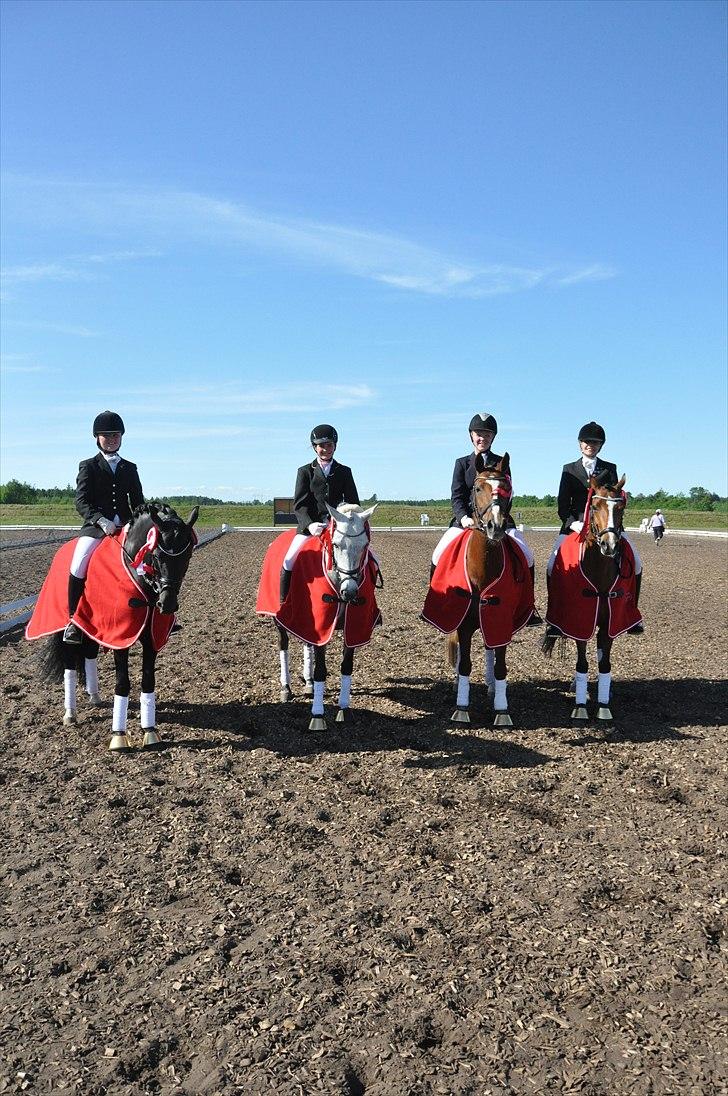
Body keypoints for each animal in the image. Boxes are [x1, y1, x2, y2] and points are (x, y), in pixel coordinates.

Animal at [31, 501, 197, 745]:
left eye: (187, 557)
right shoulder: (120, 637)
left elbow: (148, 681)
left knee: (89, 654)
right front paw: (119, 737)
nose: (167, 604)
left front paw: (150, 731)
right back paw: (70, 714)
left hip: (91, 626)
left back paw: (95, 696)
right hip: (66, 626)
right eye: (157, 555)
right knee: (70, 665)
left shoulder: (151, 638)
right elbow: (123, 683)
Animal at [269, 501, 381, 727]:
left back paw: (309, 683)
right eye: (336, 544)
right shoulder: (323, 625)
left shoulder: (351, 628)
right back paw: (286, 688)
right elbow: (321, 668)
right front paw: (318, 715)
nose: (350, 592)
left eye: (365, 545)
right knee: (283, 645)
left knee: (307, 643)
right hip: (280, 621)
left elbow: (346, 666)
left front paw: (344, 709)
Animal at [421, 453, 535, 727]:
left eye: (507, 488)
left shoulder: (501, 617)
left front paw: (502, 710)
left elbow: (501, 664)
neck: (484, 565)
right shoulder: (463, 623)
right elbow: (464, 664)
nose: (496, 527)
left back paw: (492, 686)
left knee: (489, 648)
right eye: (477, 488)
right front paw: (461, 709)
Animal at [539, 471, 644, 718]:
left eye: (621, 507)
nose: (610, 545)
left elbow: (604, 663)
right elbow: (582, 663)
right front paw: (580, 707)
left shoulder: (610, 623)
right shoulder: (581, 620)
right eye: (595, 506)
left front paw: (604, 706)